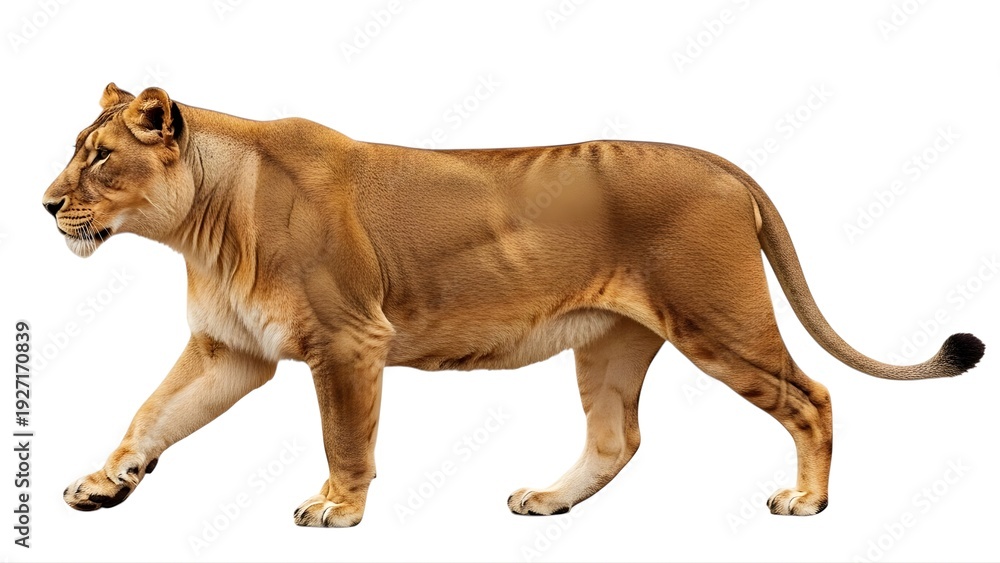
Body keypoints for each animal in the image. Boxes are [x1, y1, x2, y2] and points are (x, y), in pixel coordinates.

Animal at [43, 83, 985, 527]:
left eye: (99, 158)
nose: (47, 205)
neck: (202, 225)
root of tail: (721, 163)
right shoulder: (229, 349)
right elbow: (152, 412)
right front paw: (104, 482)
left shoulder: (349, 340)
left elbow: (346, 436)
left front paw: (337, 508)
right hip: (611, 341)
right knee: (617, 438)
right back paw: (549, 500)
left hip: (718, 321)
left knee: (811, 395)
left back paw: (806, 502)